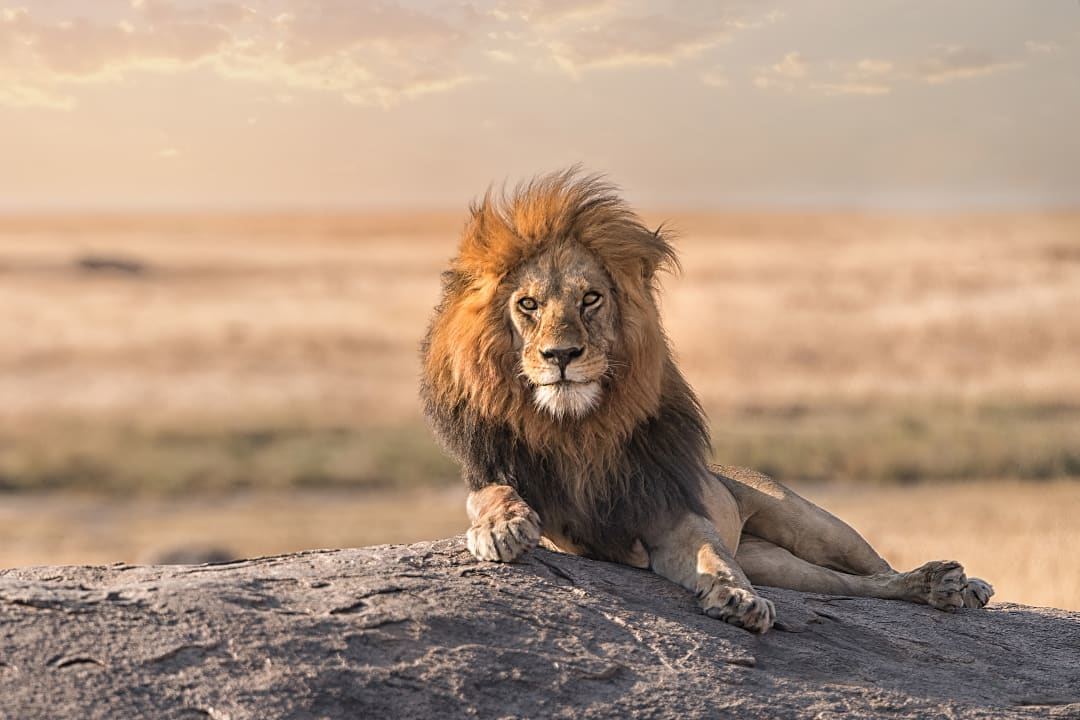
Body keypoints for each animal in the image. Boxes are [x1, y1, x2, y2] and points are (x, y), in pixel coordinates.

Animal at [420, 169, 993, 633]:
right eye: (528, 305)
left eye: (590, 298)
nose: (561, 355)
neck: (578, 427)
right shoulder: (524, 492)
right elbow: (490, 494)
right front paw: (501, 527)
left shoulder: (669, 510)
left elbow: (712, 556)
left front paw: (738, 598)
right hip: (779, 564)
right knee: (846, 586)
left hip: (811, 525)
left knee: (874, 570)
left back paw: (953, 584)